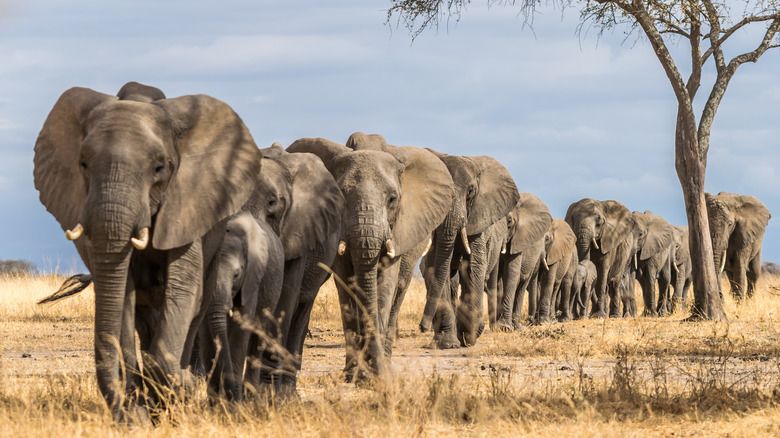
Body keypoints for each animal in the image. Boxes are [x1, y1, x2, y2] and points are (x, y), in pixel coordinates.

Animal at [33, 82, 262, 420]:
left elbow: (183, 290)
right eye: (83, 164)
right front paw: (139, 411)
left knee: (196, 309)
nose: (122, 416)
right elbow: (122, 296)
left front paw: (178, 387)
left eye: (159, 167)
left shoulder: (187, 205)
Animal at [197, 211, 284, 400]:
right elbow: (206, 332)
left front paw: (233, 401)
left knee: (257, 338)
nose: (231, 396)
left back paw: (250, 396)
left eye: (236, 275)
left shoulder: (252, 277)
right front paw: (215, 401)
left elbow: (241, 326)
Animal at [290, 134, 454, 380]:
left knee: (398, 290)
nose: (375, 375)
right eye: (340, 195)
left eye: (392, 199)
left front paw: (375, 374)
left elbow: (385, 285)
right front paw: (355, 374)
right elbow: (347, 286)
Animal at [418, 151, 520, 350]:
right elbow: (437, 269)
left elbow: (473, 267)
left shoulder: (479, 220)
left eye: (471, 191)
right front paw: (448, 344)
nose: (422, 327)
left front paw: (470, 335)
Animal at [494, 193, 556, 330]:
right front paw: (498, 326)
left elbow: (511, 273)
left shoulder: (518, 239)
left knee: (522, 284)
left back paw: (517, 326)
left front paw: (505, 327)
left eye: (509, 221)